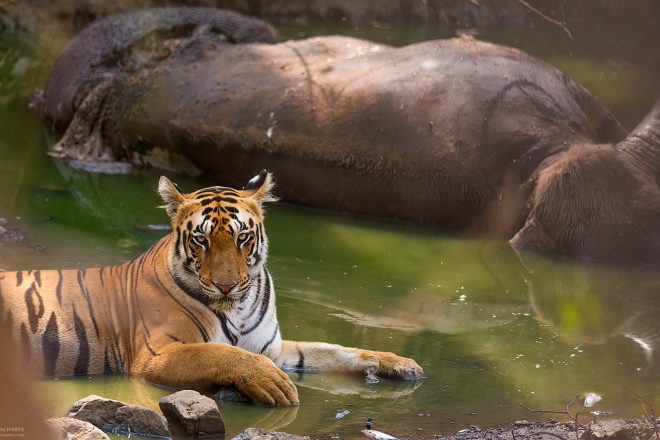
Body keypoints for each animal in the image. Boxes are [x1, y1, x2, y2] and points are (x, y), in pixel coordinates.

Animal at [0, 170, 423, 405]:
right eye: (201, 240)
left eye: (242, 238)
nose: (226, 285)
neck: (238, 307)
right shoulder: (157, 355)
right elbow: (221, 353)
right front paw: (272, 383)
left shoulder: (272, 347)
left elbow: (331, 350)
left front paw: (398, 363)